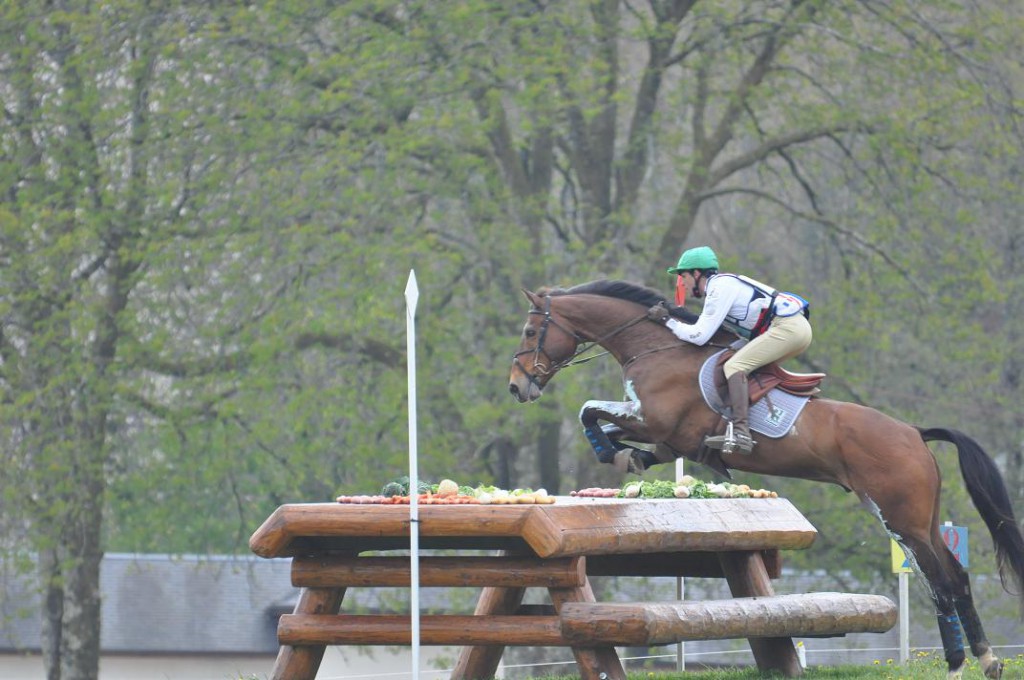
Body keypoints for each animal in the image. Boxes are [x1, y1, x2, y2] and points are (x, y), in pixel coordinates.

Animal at [507, 278, 1024, 680]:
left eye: (531, 330)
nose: (517, 386)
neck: (657, 348)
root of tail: (914, 433)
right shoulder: (659, 433)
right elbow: (604, 422)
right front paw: (629, 457)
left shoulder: (656, 422)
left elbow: (589, 410)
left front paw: (613, 452)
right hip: (921, 520)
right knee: (955, 577)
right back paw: (984, 661)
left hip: (900, 519)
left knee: (942, 582)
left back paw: (959, 664)